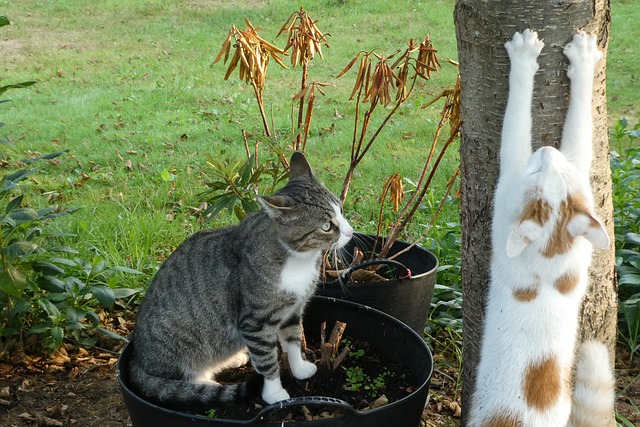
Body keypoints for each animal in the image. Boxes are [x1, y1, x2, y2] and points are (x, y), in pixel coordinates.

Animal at [128, 153, 352, 408]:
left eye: (341, 210)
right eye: (326, 226)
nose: (350, 232)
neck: (298, 259)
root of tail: (137, 359)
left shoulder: (292, 310)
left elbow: (293, 340)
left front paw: (299, 368)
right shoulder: (255, 322)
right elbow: (267, 360)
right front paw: (274, 393)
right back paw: (206, 384)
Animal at [470, 30, 616, 427]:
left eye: (539, 167)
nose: (548, 150)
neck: (552, 247)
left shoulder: (509, 183)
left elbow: (520, 121)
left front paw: (532, 58)